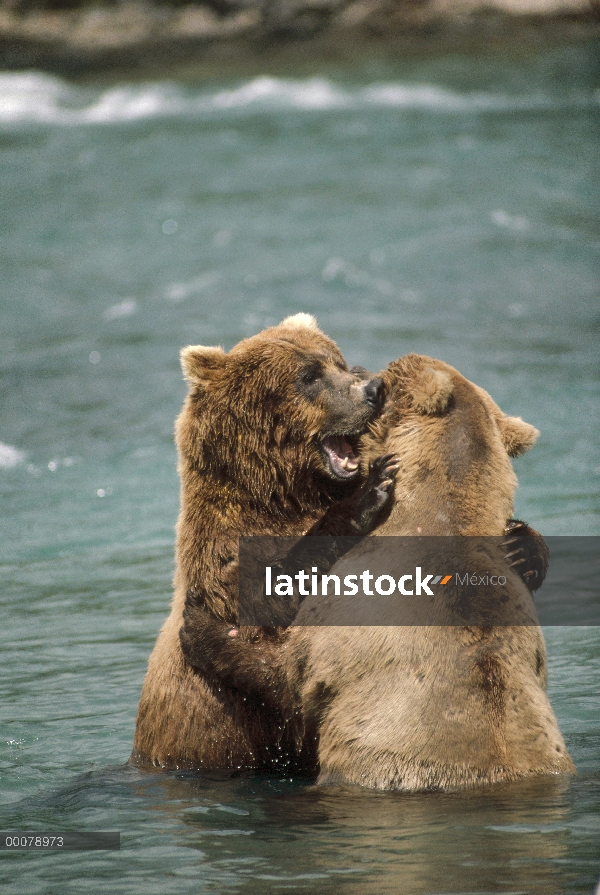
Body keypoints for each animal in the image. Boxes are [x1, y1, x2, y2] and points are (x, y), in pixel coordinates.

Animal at [131, 316, 394, 768]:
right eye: (308, 375)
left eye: (338, 361)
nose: (373, 388)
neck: (279, 495)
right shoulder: (221, 561)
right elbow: (271, 600)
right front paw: (366, 496)